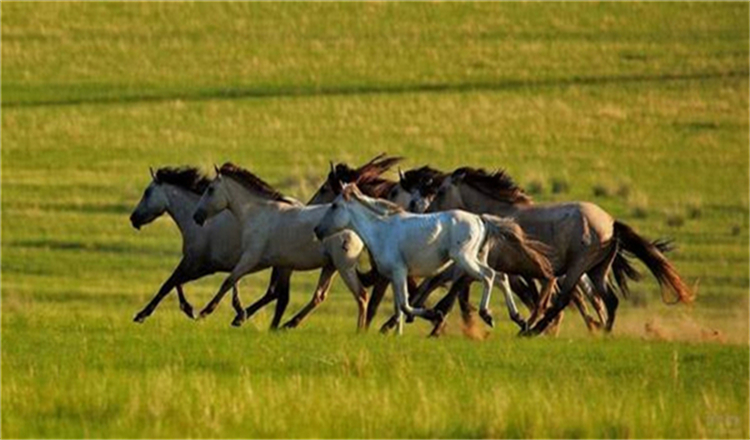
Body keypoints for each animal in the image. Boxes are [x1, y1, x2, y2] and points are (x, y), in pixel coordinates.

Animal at [128, 167, 292, 324]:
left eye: (147, 192)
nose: (133, 218)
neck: (199, 224)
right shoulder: (204, 267)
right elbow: (178, 283)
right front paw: (189, 309)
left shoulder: (196, 263)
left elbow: (169, 284)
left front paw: (142, 315)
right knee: (276, 294)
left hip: (281, 266)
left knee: (277, 294)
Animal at [192, 163, 372, 328]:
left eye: (210, 189)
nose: (196, 216)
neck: (259, 214)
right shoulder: (262, 262)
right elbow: (239, 282)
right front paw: (240, 315)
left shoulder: (251, 257)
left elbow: (229, 281)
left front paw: (203, 313)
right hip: (331, 266)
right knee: (319, 296)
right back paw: (289, 324)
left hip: (344, 266)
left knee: (361, 296)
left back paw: (359, 332)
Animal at [312, 184, 560, 336]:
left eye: (334, 205)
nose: (317, 230)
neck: (381, 230)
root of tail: (480, 220)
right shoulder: (394, 276)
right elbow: (399, 307)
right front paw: (396, 333)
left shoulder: (400, 272)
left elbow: (406, 305)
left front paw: (434, 314)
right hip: (477, 258)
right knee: (501, 277)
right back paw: (518, 318)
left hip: (465, 259)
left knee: (489, 276)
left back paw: (487, 314)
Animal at [426, 167, 696, 336]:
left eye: (441, 191)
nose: (427, 212)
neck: (497, 217)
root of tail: (611, 224)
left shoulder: (490, 264)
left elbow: (458, 286)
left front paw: (435, 318)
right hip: (597, 270)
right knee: (609, 299)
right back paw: (604, 333)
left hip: (578, 266)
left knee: (565, 299)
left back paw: (533, 331)